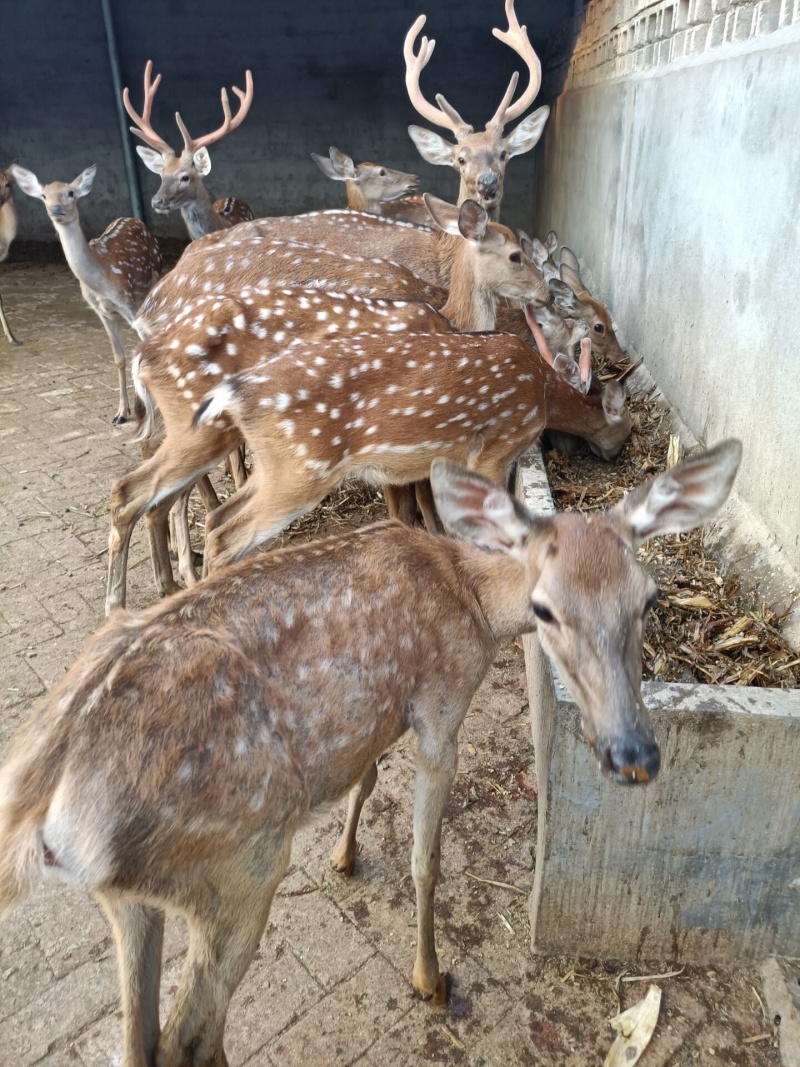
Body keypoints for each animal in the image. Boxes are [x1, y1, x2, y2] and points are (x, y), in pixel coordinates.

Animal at [0, 439, 746, 1067]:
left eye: (649, 598)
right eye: (545, 609)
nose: (633, 752)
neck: (472, 599)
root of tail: (39, 807)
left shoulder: (384, 711)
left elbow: (365, 777)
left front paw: (346, 854)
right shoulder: (443, 702)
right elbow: (425, 859)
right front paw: (429, 976)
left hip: (125, 896)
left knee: (138, 1038)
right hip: (238, 866)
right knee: (189, 1036)